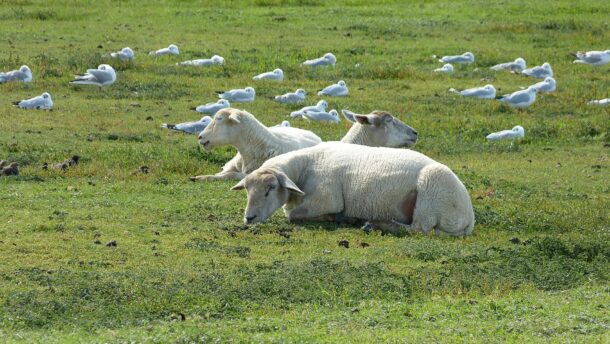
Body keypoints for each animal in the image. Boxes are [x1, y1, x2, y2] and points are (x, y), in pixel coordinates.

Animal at [190, 109, 324, 181]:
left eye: (219, 119)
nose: (200, 136)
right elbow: (222, 173)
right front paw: (200, 177)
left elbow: (230, 175)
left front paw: (201, 178)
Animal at [230, 142, 472, 236]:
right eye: (247, 189)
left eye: (270, 188)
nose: (249, 218)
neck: (306, 165)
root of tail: (469, 216)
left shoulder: (327, 198)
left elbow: (293, 215)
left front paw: (337, 218)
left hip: (431, 193)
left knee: (418, 229)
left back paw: (375, 224)